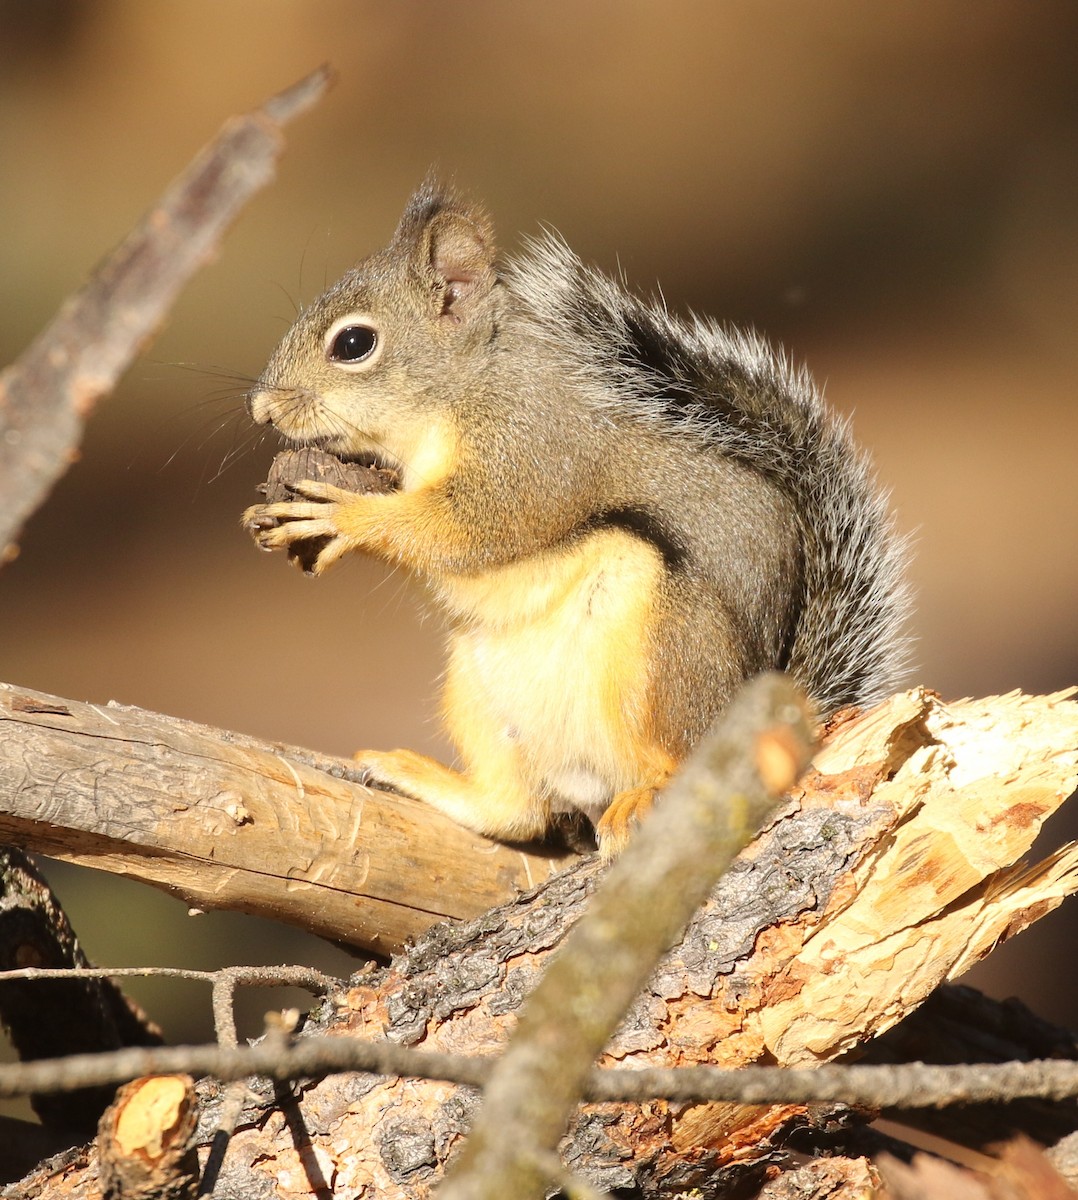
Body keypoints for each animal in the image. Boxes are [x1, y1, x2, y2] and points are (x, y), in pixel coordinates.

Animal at [242, 179, 910, 857]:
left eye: (354, 344)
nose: (261, 408)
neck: (462, 387)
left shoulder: (533, 445)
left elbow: (478, 524)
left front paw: (346, 514)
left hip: (667, 656)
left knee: (670, 759)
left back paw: (647, 793)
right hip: (479, 688)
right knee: (516, 811)